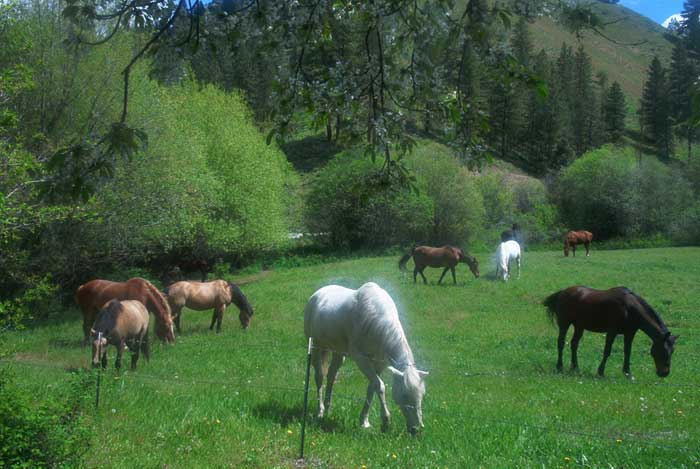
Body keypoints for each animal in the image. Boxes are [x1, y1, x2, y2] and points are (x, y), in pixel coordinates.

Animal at [304, 282, 429, 435]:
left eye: (422, 395)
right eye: (405, 395)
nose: (416, 429)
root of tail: (317, 294)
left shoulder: (379, 364)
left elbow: (372, 388)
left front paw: (364, 421)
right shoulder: (361, 359)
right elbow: (380, 386)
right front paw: (386, 421)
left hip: (339, 353)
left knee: (332, 375)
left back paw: (328, 408)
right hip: (316, 347)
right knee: (320, 377)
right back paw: (320, 412)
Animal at [543, 286, 677, 377]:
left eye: (672, 351)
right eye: (663, 351)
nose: (664, 373)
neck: (629, 308)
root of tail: (562, 292)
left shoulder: (630, 333)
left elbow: (627, 352)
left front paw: (627, 373)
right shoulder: (612, 331)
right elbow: (607, 351)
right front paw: (600, 372)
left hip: (579, 326)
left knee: (574, 344)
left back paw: (575, 368)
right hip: (564, 323)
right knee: (561, 343)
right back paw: (559, 367)